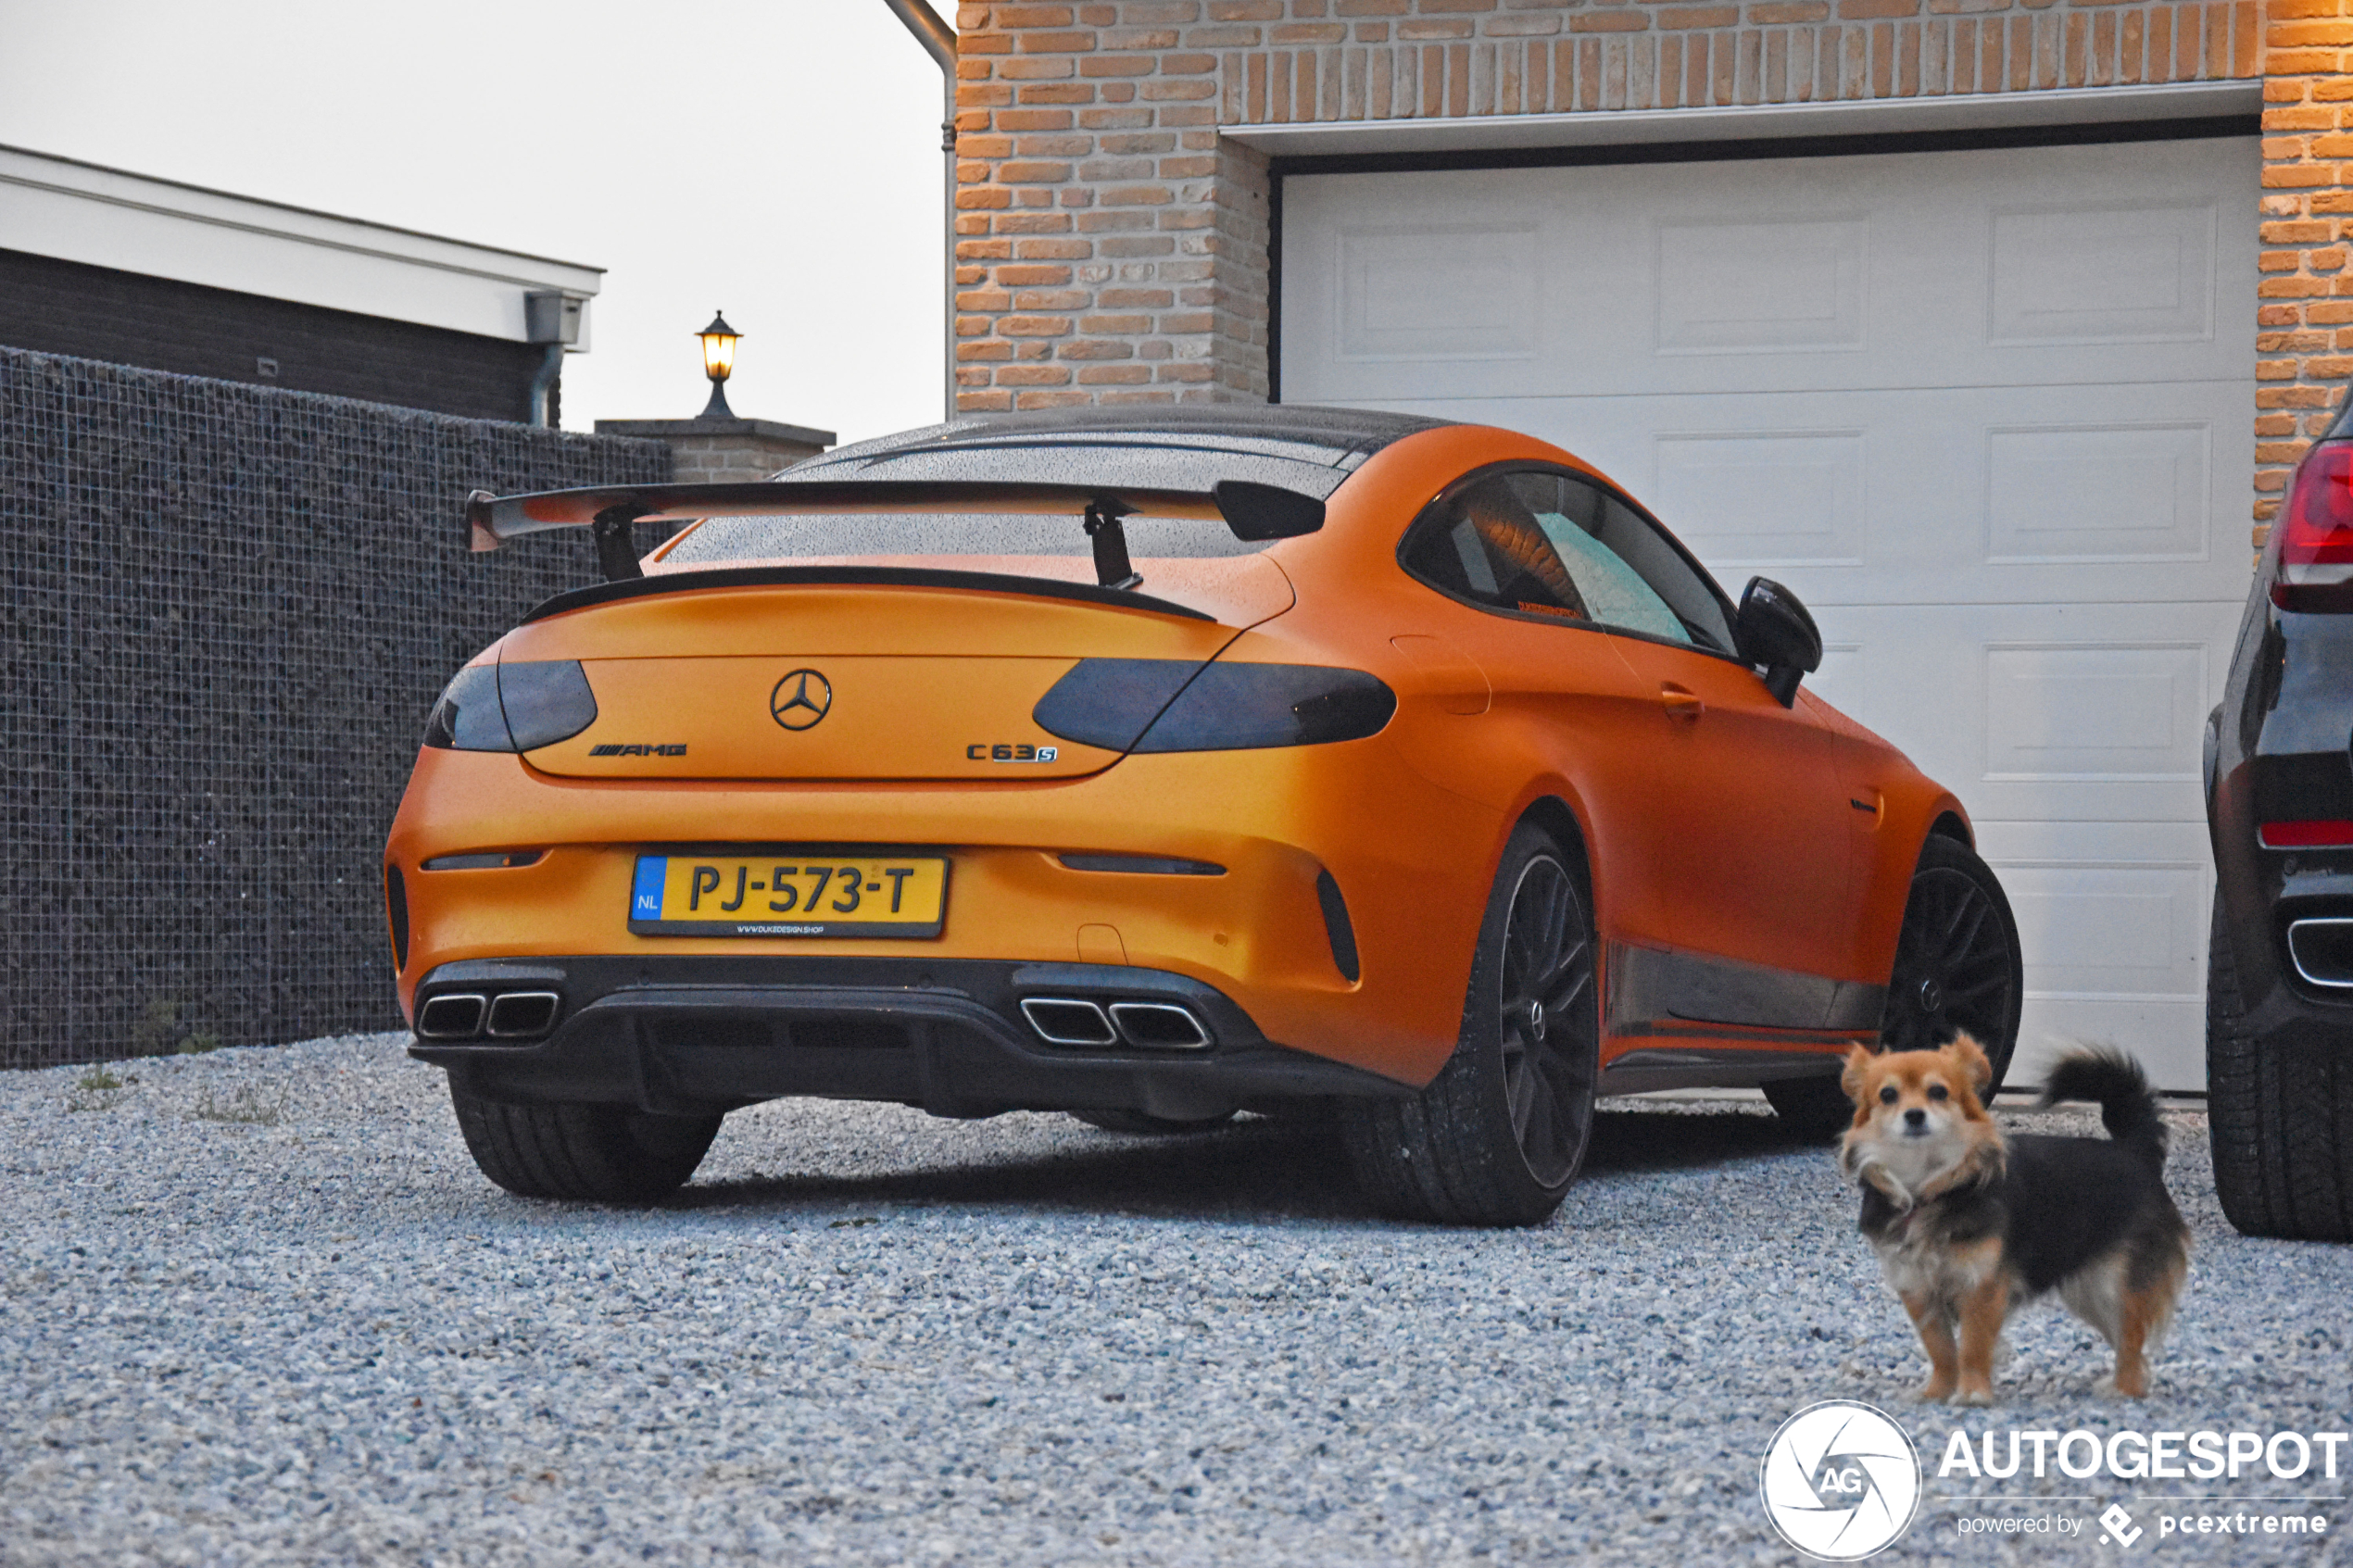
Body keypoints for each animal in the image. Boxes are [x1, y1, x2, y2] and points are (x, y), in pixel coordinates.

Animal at [1835, 1034, 2183, 1400]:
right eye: (1888, 1095)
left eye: (1939, 1092)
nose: (1914, 1115)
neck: (1927, 1186)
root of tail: (2134, 1150)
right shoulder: (1917, 1287)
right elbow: (1940, 1348)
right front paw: (1938, 1392)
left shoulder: (1982, 1285)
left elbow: (1973, 1345)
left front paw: (1972, 1394)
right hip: (2088, 1292)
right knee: (2128, 1341)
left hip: (2117, 1285)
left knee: (2131, 1338)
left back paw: (2125, 1390)